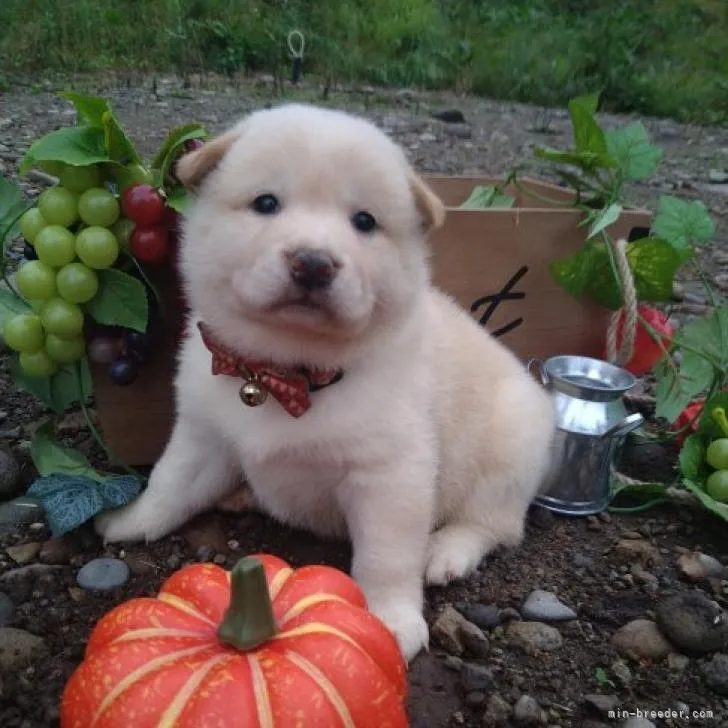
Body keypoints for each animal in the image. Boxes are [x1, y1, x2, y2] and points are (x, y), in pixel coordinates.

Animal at [94, 104, 556, 664]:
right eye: (266, 203)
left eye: (365, 222)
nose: (313, 262)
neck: (282, 375)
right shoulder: (202, 436)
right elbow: (167, 487)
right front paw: (128, 521)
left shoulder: (391, 475)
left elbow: (386, 556)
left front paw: (390, 619)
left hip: (509, 450)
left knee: (494, 524)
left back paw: (447, 551)